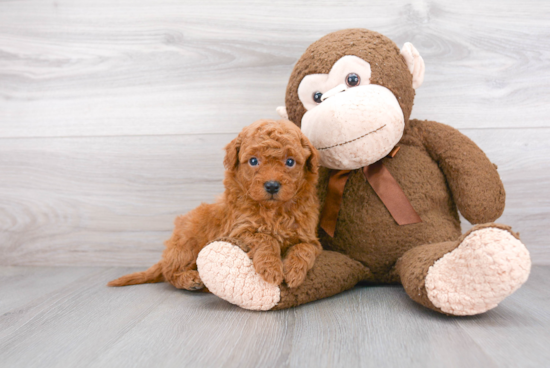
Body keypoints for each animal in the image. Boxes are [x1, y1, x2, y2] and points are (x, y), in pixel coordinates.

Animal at [108, 120, 322, 290]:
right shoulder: (239, 231)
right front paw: (272, 269)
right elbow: (265, 238)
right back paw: (190, 280)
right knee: (170, 272)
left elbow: (304, 249)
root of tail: (168, 253)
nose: (271, 185)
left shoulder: (309, 237)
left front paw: (294, 273)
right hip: (188, 243)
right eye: (253, 161)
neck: (274, 211)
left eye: (290, 162)